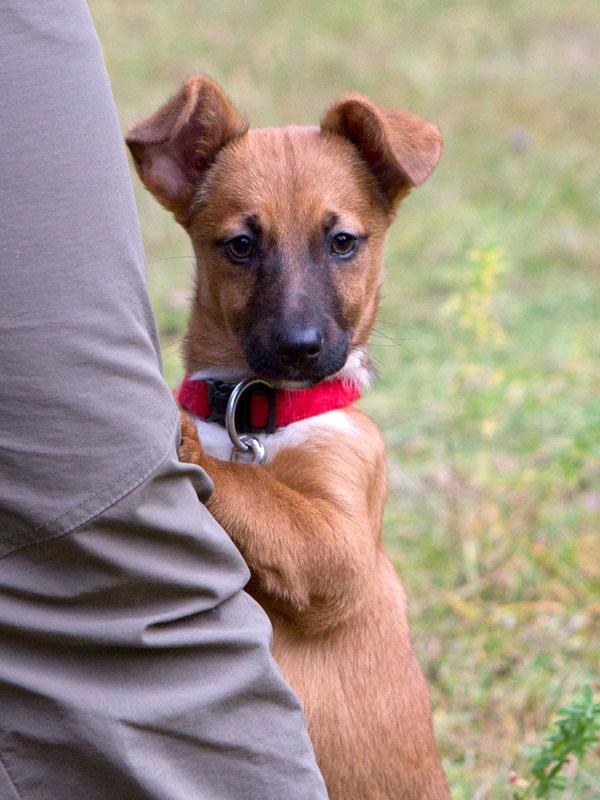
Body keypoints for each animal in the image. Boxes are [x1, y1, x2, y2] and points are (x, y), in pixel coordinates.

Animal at [127, 76, 450, 800]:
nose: (299, 349)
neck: (254, 413)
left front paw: (184, 437)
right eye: (241, 245)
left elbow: (260, 497)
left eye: (343, 242)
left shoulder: (342, 542)